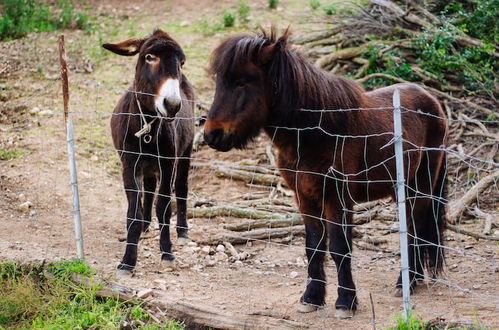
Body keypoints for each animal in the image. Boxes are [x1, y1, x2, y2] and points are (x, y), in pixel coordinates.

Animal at [102, 29, 194, 274]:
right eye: (149, 57)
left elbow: (164, 207)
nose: (172, 105)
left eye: (181, 63)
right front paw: (127, 261)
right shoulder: (129, 165)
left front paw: (167, 252)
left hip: (185, 152)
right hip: (149, 165)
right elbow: (132, 213)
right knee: (149, 188)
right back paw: (145, 225)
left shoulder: (168, 163)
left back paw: (182, 231)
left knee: (181, 187)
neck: (148, 127)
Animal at [204, 28, 450, 318]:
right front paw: (311, 297)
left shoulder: (337, 198)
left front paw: (345, 301)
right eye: (220, 82)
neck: (317, 132)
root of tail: (433, 102)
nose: (211, 135)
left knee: (415, 227)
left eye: (242, 82)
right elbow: (314, 247)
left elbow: (340, 248)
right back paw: (413, 279)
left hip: (420, 186)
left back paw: (407, 282)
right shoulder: (305, 197)